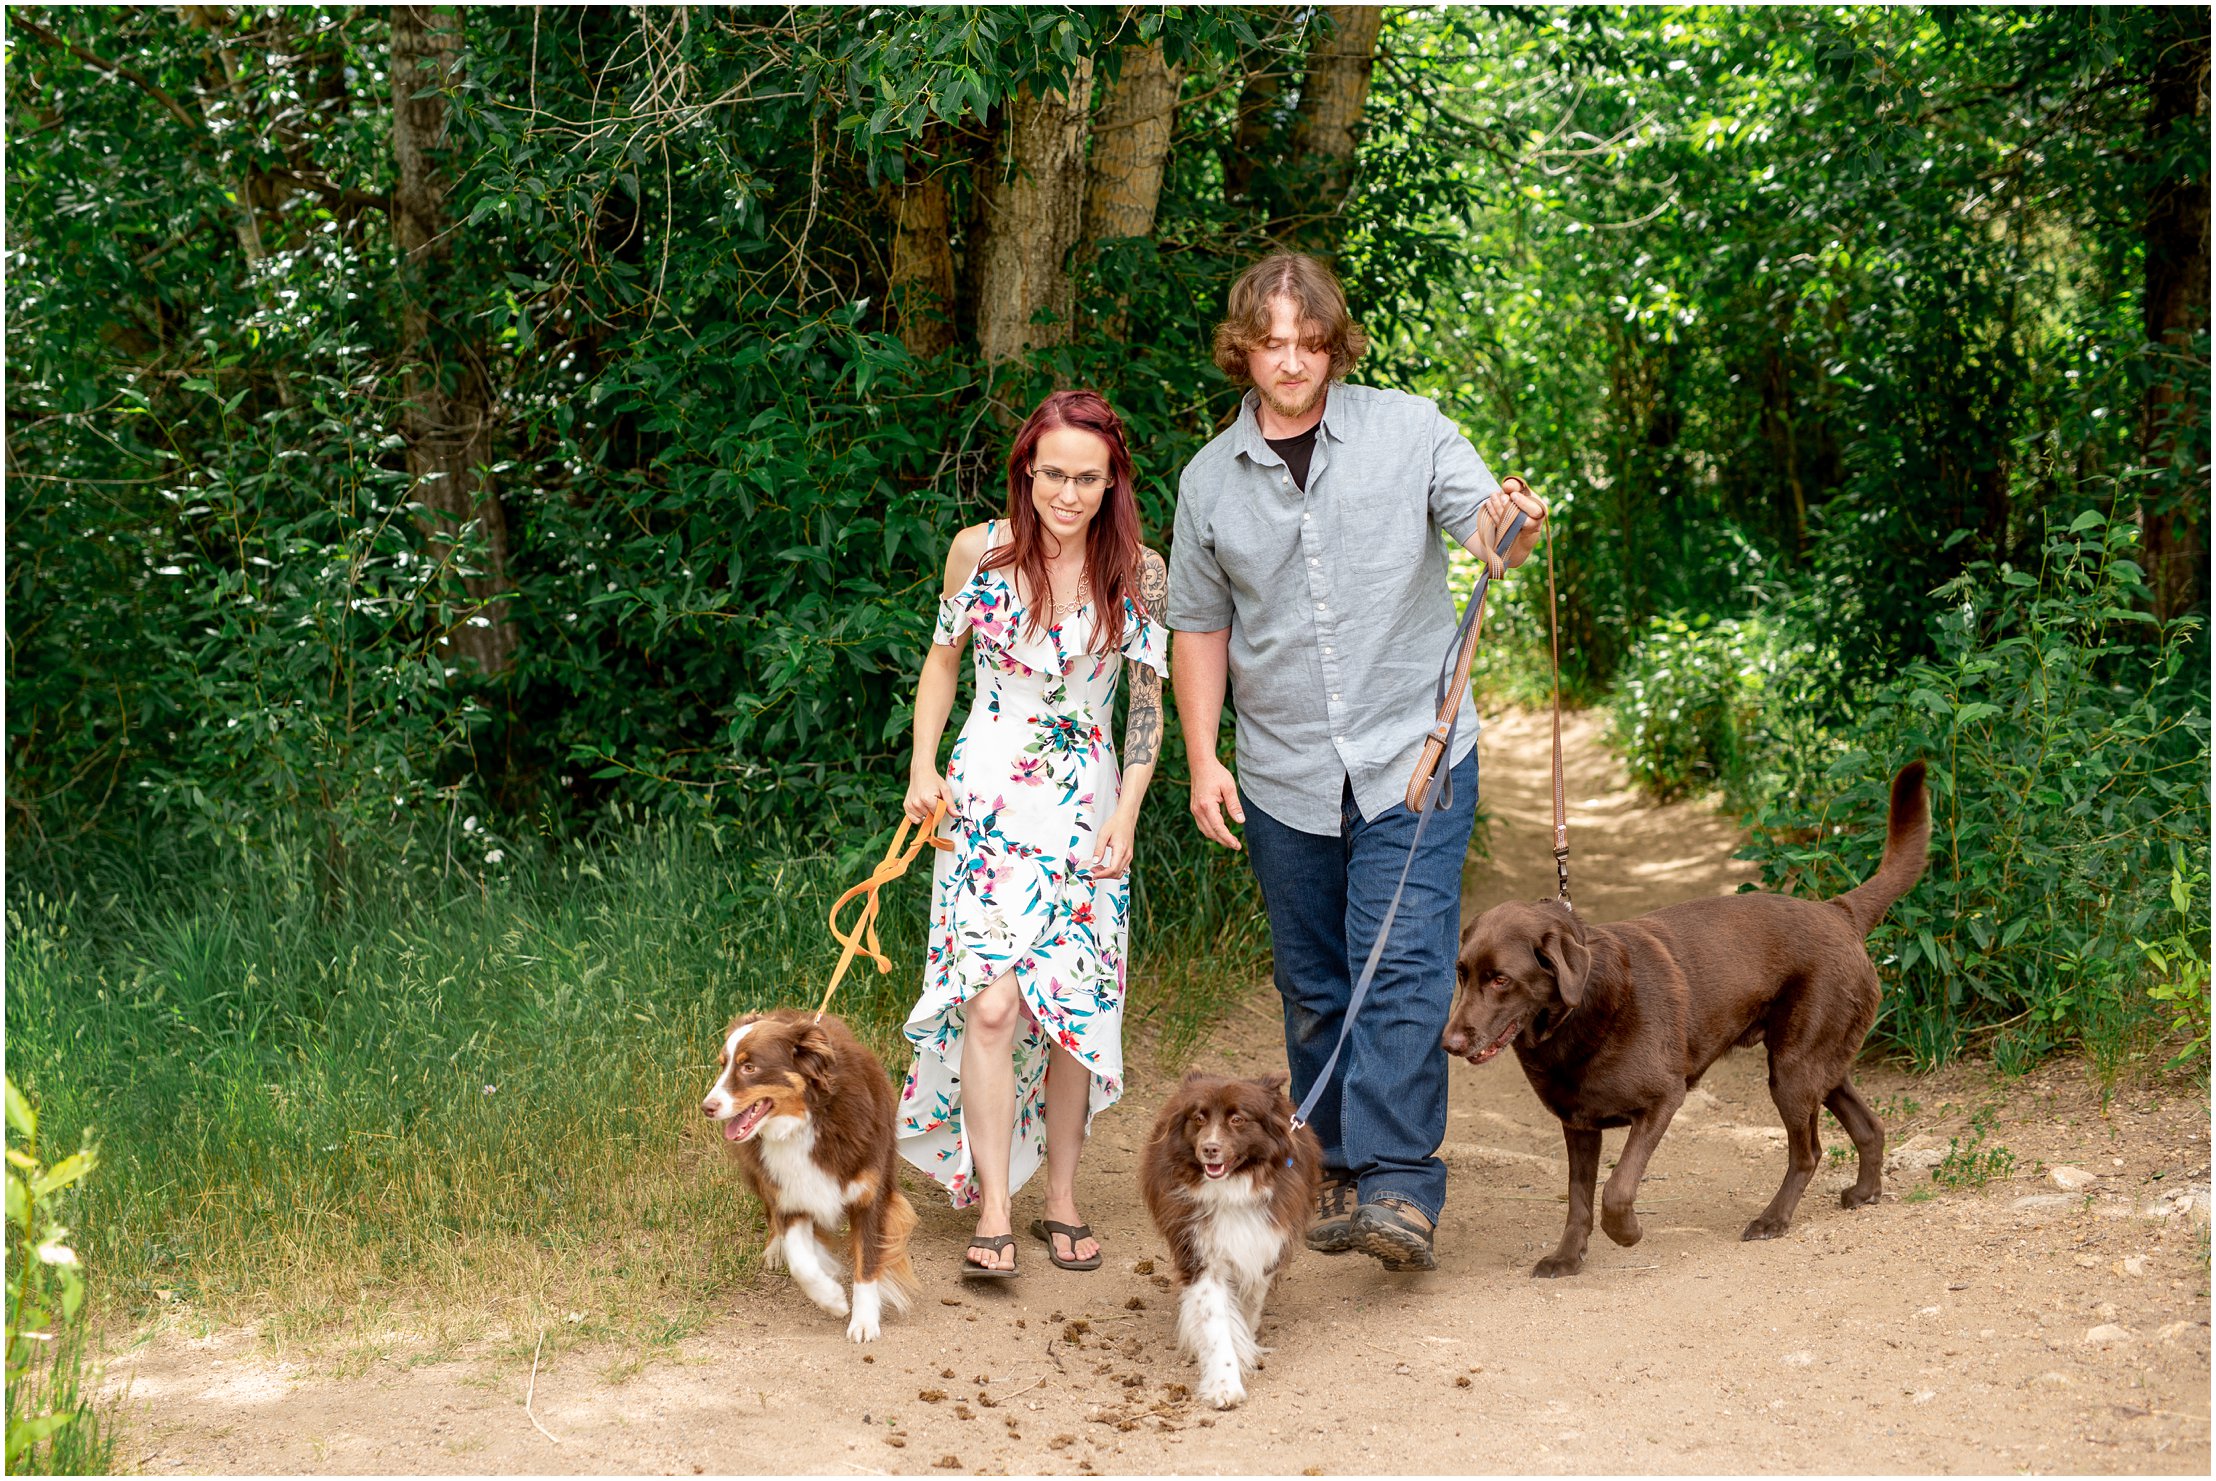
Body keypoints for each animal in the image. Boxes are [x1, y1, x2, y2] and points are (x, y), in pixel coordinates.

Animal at [704, 1006, 921, 1339]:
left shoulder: (872, 1194)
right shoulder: (790, 1192)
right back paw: (776, 1250)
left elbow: (868, 1260)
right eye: (723, 1065)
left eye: (749, 1067)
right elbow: (801, 1262)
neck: (809, 1118)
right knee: (771, 1215)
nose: (707, 1107)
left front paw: (863, 1321)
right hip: (759, 1174)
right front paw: (832, 1299)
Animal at [1143, 1068, 1311, 1410]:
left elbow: (1249, 1304)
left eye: (1238, 1119)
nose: (1210, 1148)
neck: (1232, 1190)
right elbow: (1216, 1324)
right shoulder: (1200, 1254)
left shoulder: (1263, 1247)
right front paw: (1224, 1384)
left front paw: (1245, 1340)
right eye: (1198, 1118)